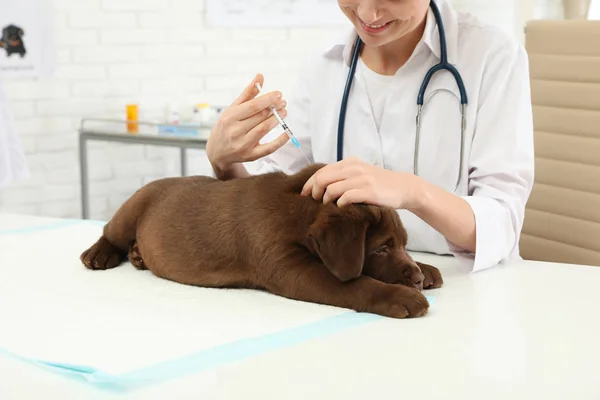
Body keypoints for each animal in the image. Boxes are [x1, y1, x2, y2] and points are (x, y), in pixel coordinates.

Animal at [81, 162, 440, 318]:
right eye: (380, 248)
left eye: (402, 244)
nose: (416, 279)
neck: (299, 212)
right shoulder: (290, 267)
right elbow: (354, 283)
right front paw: (402, 297)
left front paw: (427, 269)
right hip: (132, 208)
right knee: (110, 232)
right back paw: (98, 254)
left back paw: (139, 256)